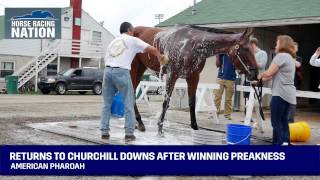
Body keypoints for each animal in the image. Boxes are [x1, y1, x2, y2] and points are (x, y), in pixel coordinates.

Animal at [130, 24, 258, 136]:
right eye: (246, 49)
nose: (255, 74)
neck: (192, 44)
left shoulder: (193, 77)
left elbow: (192, 102)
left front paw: (194, 127)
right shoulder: (172, 75)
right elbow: (166, 102)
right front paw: (160, 128)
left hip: (141, 68)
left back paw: (139, 123)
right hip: (134, 68)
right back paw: (139, 122)